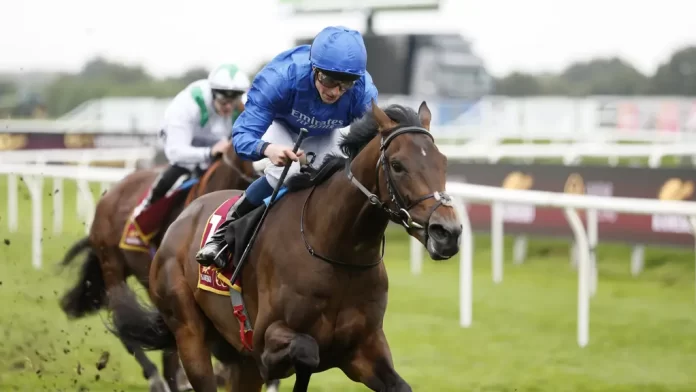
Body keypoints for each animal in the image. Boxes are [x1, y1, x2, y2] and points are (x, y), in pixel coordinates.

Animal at [107, 102, 462, 392]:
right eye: (398, 165)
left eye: (443, 162)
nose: (448, 232)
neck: (337, 252)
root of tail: (182, 219)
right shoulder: (264, 345)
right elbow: (307, 351)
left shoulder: (364, 348)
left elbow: (398, 384)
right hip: (189, 332)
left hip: (236, 357)